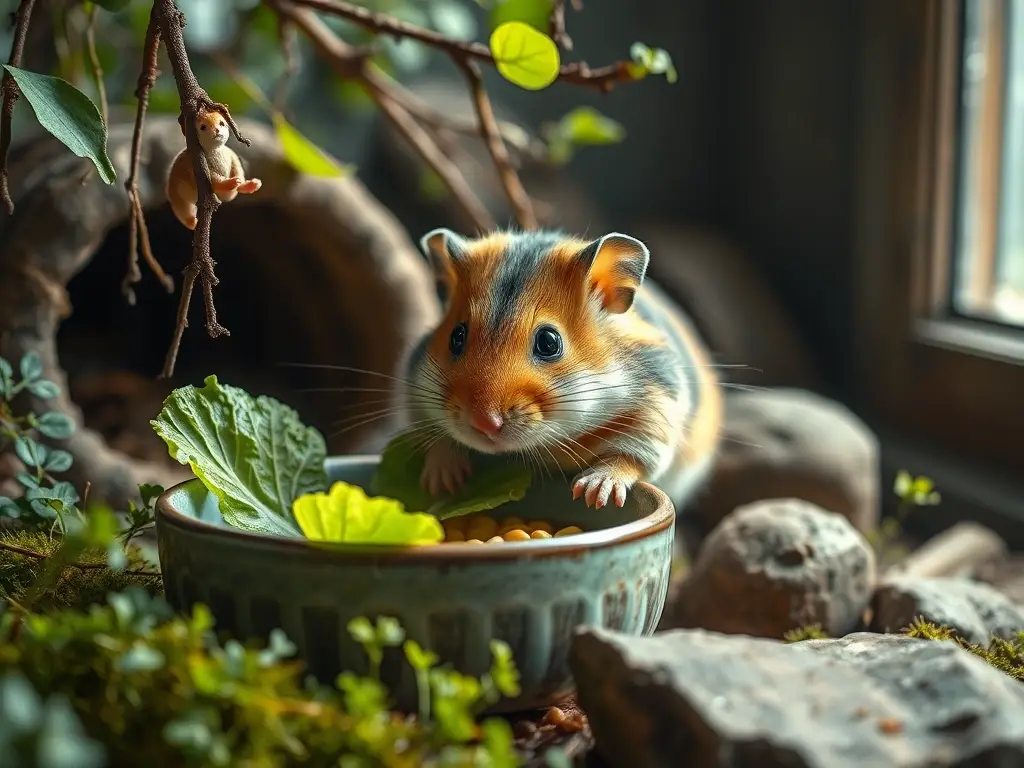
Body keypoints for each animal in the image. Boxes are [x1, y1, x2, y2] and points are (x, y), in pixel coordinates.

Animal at [402, 227, 723, 510]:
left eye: (548, 342)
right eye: (456, 337)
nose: (484, 425)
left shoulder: (658, 408)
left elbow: (629, 456)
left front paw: (594, 493)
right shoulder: (417, 392)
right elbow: (438, 437)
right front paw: (441, 482)